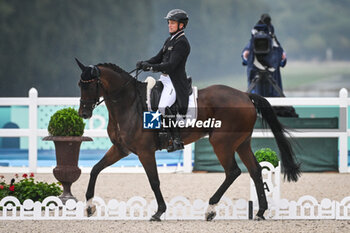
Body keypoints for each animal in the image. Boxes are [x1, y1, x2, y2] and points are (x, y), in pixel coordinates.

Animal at [76, 59, 300, 221]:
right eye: (80, 84)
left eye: (90, 85)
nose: (83, 113)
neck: (129, 104)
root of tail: (245, 95)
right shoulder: (121, 149)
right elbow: (95, 169)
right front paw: (89, 206)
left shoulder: (145, 152)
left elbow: (154, 181)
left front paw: (159, 212)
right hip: (242, 143)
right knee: (255, 170)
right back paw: (260, 212)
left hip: (222, 143)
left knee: (233, 171)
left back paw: (210, 209)